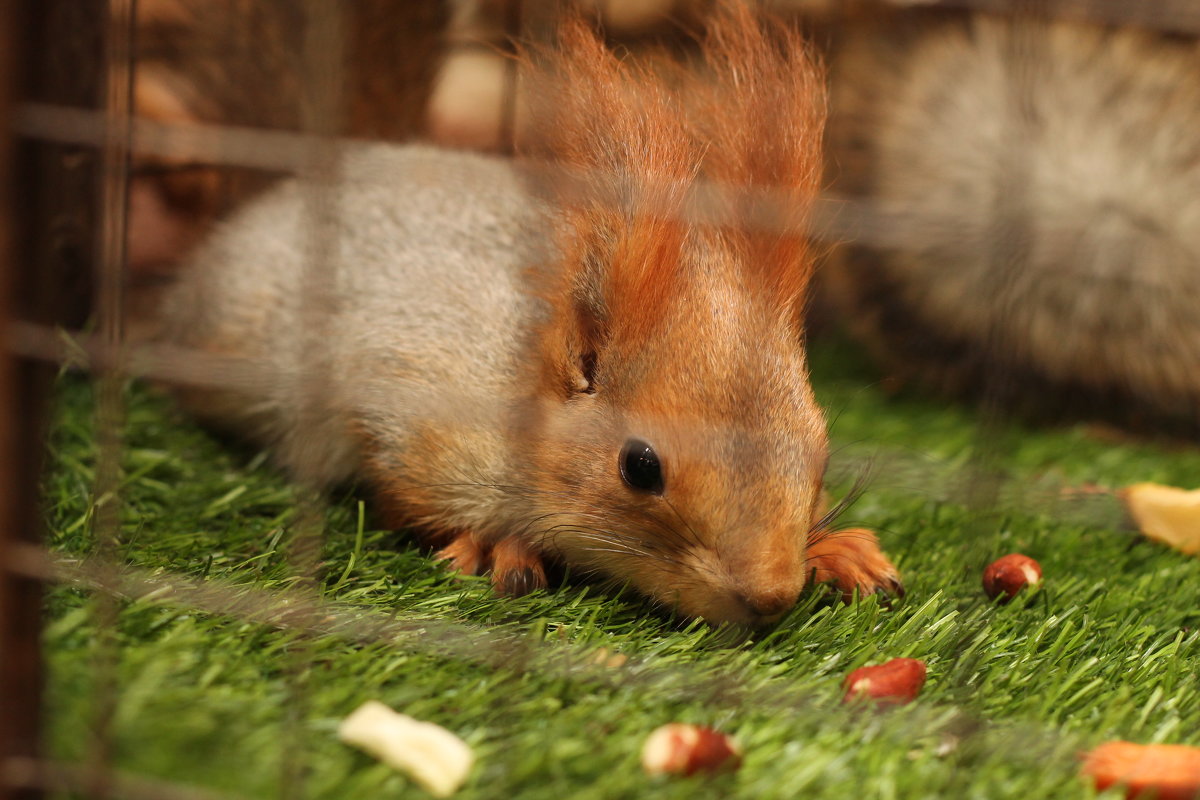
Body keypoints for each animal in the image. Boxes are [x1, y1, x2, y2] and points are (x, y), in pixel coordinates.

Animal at [157, 4, 902, 633]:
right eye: (640, 467)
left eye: (820, 445)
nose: (769, 597)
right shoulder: (409, 413)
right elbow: (403, 493)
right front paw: (496, 544)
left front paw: (838, 549)